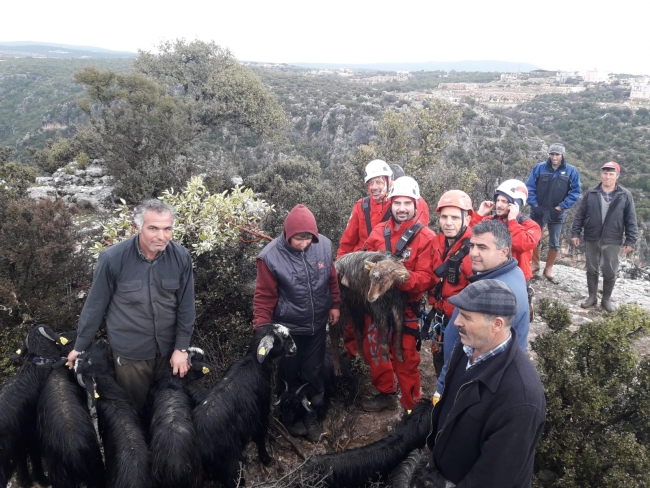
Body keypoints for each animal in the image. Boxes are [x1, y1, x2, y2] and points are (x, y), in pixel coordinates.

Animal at [0, 324, 73, 488]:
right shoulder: (32, 434)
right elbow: (34, 457)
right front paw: (41, 479)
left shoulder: (19, 441)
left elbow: (22, 461)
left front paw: (25, 480)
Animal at [191, 324, 294, 488]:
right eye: (283, 338)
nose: (295, 348)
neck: (255, 364)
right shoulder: (261, 414)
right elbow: (260, 438)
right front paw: (267, 460)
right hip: (230, 462)